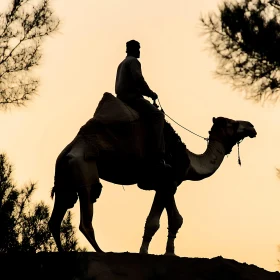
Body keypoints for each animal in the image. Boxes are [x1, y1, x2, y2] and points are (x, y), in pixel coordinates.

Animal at [47, 93, 256, 255]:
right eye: (231, 123)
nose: (251, 126)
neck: (189, 162)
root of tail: (71, 148)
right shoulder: (165, 182)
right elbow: (153, 222)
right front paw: (143, 252)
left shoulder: (169, 184)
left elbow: (176, 219)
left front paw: (170, 252)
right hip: (85, 170)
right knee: (85, 218)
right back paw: (101, 252)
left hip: (64, 177)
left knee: (56, 218)